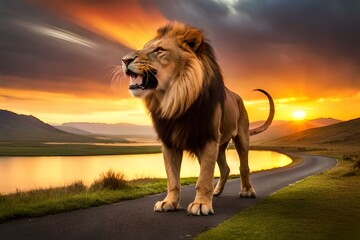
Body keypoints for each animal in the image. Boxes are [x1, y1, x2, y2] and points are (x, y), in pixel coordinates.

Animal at [122, 22, 274, 216]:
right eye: (144, 47)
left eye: (159, 50)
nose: (124, 60)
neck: (176, 97)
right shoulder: (169, 142)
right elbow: (173, 179)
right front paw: (169, 203)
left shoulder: (208, 138)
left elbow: (204, 177)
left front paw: (201, 205)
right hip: (218, 146)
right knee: (225, 168)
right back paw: (216, 191)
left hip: (241, 138)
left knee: (244, 166)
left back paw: (247, 191)